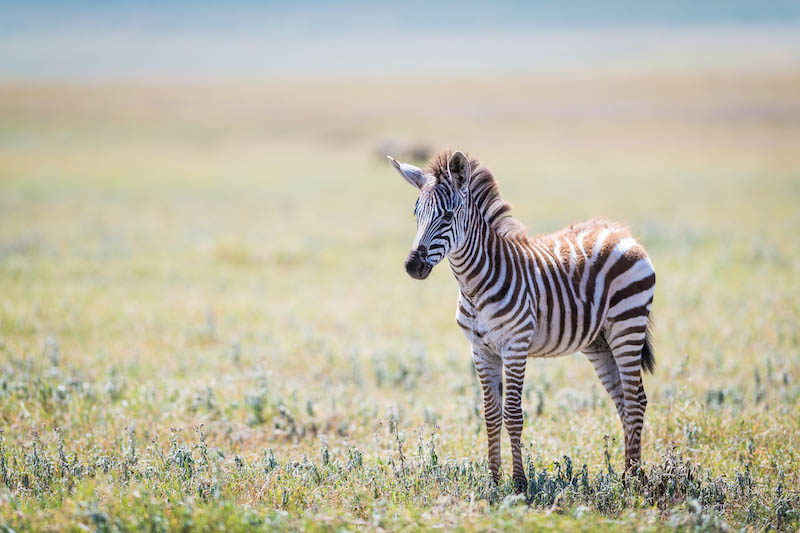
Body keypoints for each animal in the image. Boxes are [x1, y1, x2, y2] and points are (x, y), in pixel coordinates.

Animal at [388, 149, 656, 490]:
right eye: (416, 215)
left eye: (446, 216)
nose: (413, 266)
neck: (474, 284)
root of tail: (619, 232)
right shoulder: (480, 350)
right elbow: (491, 415)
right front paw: (493, 480)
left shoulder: (515, 346)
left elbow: (513, 415)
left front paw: (519, 482)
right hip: (599, 341)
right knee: (625, 399)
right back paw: (629, 474)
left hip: (627, 326)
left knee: (635, 401)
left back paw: (633, 480)